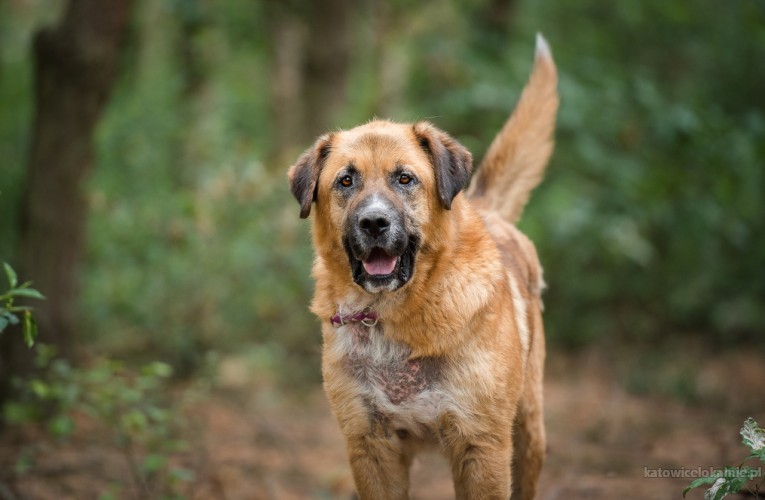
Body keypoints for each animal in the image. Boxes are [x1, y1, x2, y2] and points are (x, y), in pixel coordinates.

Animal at [290, 33, 560, 498]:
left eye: (405, 179)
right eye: (345, 180)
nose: (374, 222)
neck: (390, 316)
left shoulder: (481, 445)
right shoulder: (370, 444)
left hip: (528, 434)